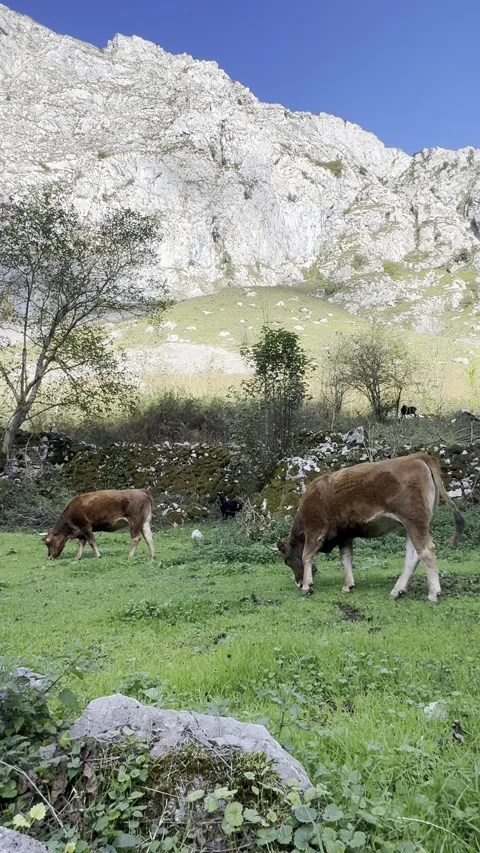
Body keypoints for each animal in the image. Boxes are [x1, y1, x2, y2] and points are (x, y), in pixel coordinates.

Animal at [276, 452, 464, 604]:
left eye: (287, 561)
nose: (298, 582)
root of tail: (418, 456)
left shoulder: (315, 528)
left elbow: (307, 555)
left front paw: (307, 587)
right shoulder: (345, 535)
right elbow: (346, 559)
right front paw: (348, 586)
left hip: (414, 521)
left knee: (426, 552)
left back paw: (433, 594)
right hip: (413, 525)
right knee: (412, 556)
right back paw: (397, 591)